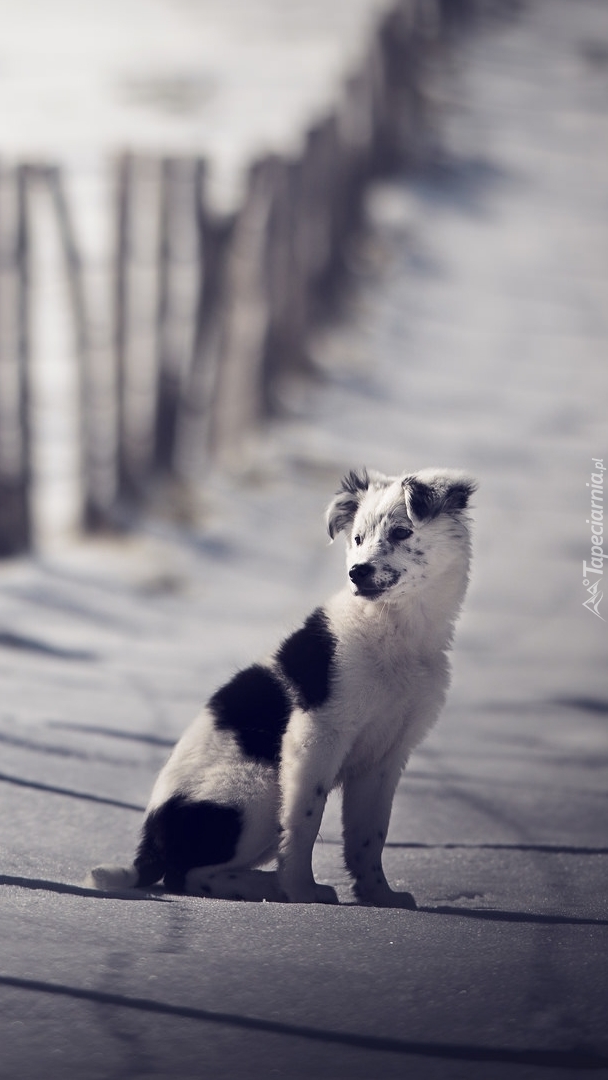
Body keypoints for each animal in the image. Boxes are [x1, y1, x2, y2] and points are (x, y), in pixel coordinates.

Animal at [88, 468, 475, 907]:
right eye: (357, 538)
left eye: (401, 532)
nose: (357, 572)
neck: (396, 629)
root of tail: (150, 845)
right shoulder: (316, 736)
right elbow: (305, 821)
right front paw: (302, 890)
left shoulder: (385, 757)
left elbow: (369, 835)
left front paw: (379, 894)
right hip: (256, 793)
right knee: (186, 875)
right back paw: (267, 887)